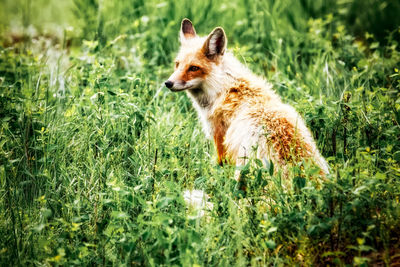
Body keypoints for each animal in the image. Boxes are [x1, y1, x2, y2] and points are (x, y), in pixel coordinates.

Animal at [164, 19, 330, 182]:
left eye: (193, 68)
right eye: (177, 64)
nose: (168, 83)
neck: (222, 89)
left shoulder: (220, 138)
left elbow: (220, 167)